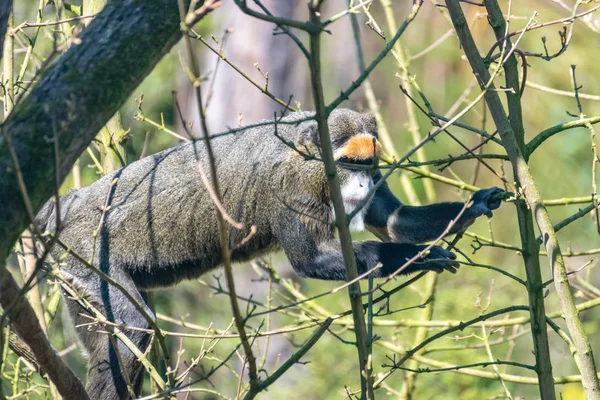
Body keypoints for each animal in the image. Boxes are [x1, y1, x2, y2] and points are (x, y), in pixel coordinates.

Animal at [35, 108, 504, 398]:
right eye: (348, 165)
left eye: (368, 165)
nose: (362, 184)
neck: (306, 159)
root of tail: (69, 202)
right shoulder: (283, 187)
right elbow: (310, 261)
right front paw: (418, 256)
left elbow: (392, 220)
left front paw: (478, 203)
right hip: (87, 254)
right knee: (132, 329)